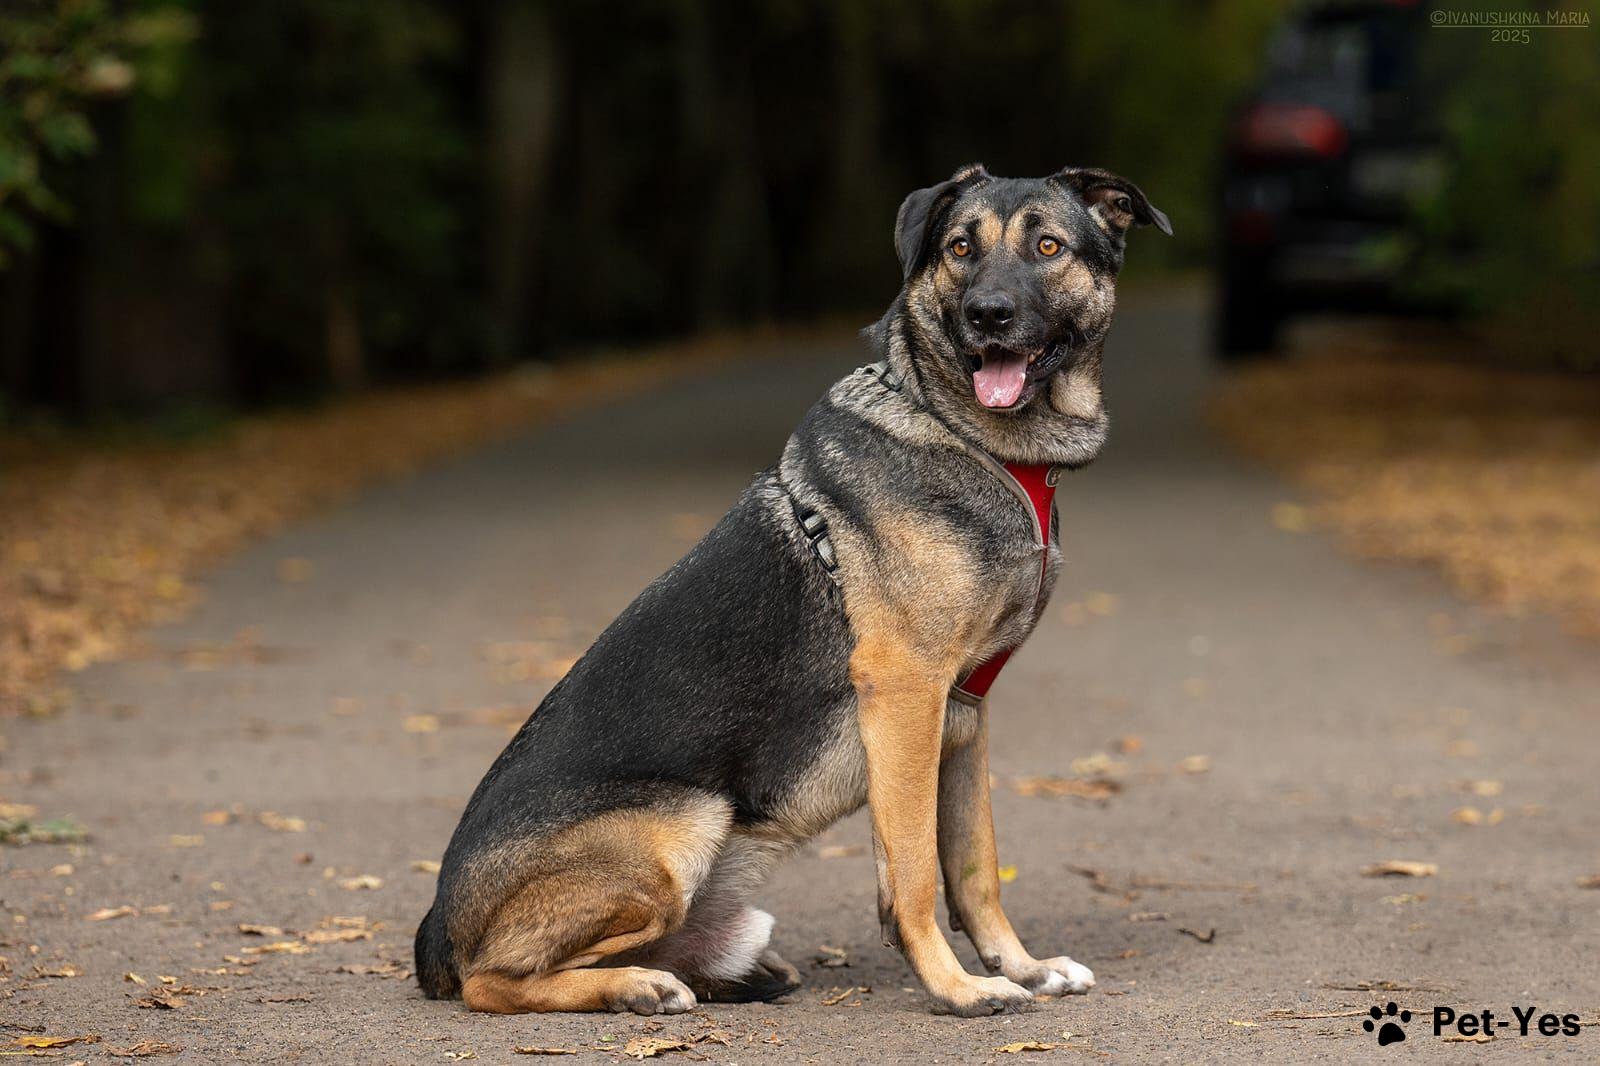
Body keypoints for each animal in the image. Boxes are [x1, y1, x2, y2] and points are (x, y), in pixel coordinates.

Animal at [415, 163, 1170, 1017]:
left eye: (1048, 246)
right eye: (959, 248)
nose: (988, 315)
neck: (966, 432)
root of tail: (435, 932)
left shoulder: (963, 716)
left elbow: (975, 868)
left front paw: (1024, 967)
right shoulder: (907, 696)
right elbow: (915, 873)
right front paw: (956, 988)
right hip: (684, 824)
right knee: (492, 981)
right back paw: (638, 985)